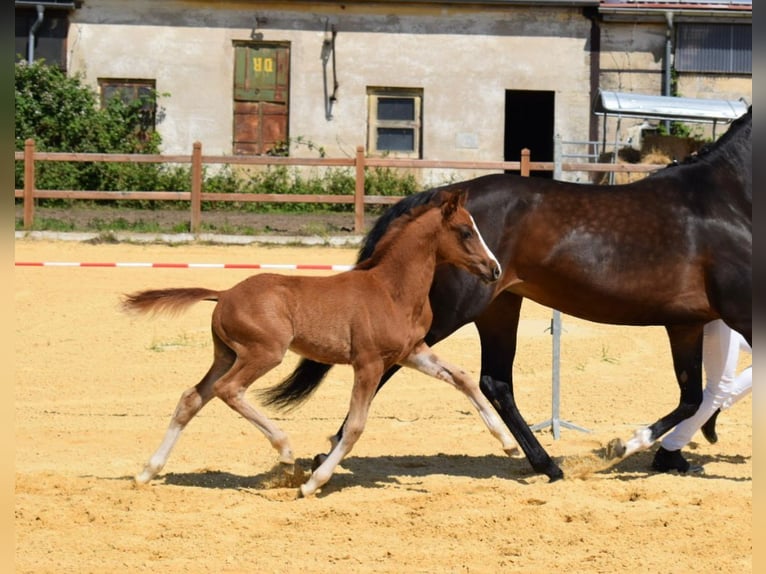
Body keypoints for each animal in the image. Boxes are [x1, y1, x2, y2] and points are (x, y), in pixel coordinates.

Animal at [278, 106, 756, 484]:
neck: (726, 199)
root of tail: (438, 200)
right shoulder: (739, 315)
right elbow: (701, 396)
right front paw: (627, 446)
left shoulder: (687, 322)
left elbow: (692, 396)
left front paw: (642, 447)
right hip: (454, 310)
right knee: (394, 367)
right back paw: (326, 454)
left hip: (499, 306)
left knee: (495, 381)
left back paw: (546, 464)